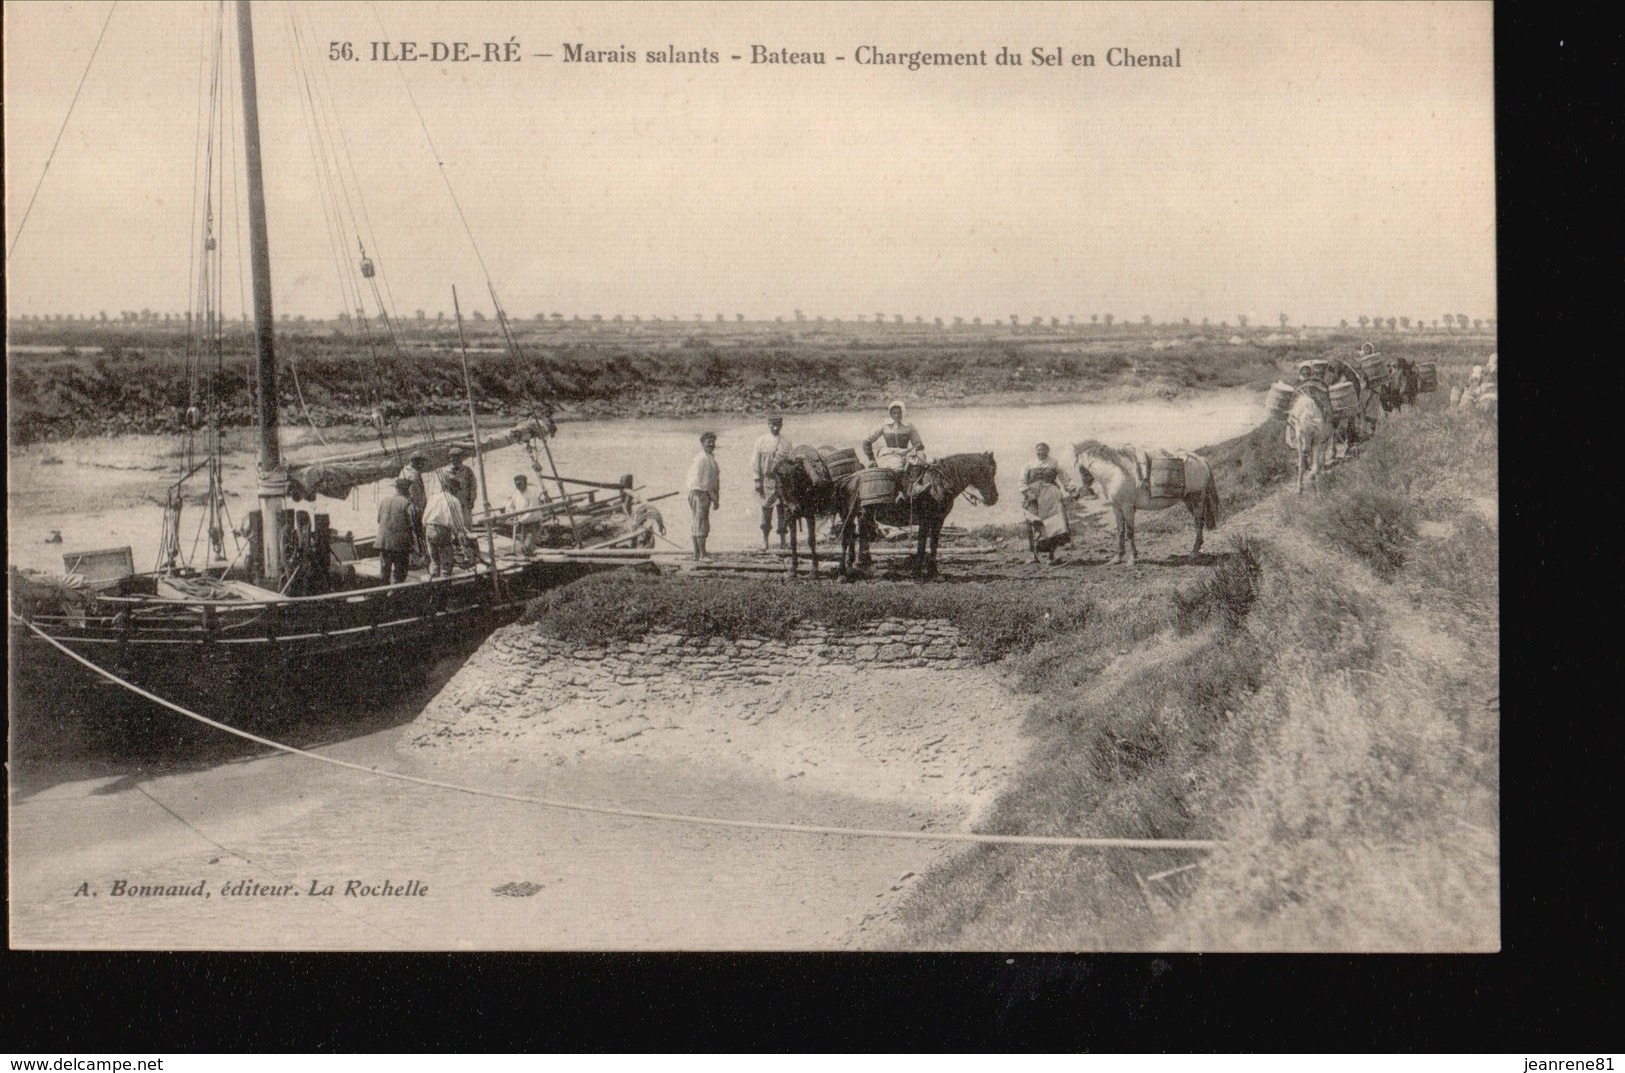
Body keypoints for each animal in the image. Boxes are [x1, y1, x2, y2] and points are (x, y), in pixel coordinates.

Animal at [838, 451, 1001, 578]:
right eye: (990, 472)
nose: (994, 498)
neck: (938, 484)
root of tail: (849, 479)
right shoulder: (928, 520)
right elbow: (925, 544)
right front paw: (923, 571)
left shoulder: (935, 520)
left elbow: (929, 544)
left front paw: (929, 571)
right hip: (850, 514)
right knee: (847, 537)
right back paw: (843, 572)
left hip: (862, 515)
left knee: (859, 536)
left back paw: (858, 565)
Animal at [1072, 438, 1215, 565]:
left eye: (1078, 467)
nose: (1079, 492)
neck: (1115, 474)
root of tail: (1202, 460)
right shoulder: (1117, 508)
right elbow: (1120, 531)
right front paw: (1117, 558)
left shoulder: (1128, 508)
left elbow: (1130, 532)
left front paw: (1132, 559)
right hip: (1188, 500)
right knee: (1197, 522)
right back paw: (1196, 549)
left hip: (1197, 498)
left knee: (1199, 522)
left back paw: (1194, 552)